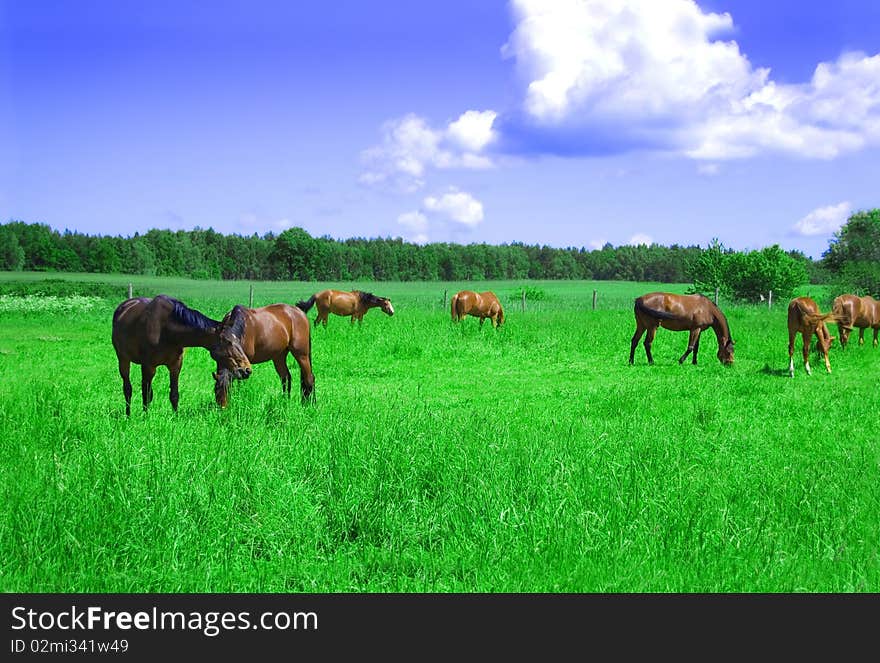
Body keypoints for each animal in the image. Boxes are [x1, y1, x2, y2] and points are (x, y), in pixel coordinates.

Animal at [111, 296, 251, 416]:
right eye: (228, 342)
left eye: (238, 340)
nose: (246, 369)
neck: (166, 330)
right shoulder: (148, 367)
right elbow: (147, 395)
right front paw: (146, 417)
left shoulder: (175, 366)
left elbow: (174, 394)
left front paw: (175, 417)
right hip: (123, 359)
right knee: (127, 389)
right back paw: (128, 415)